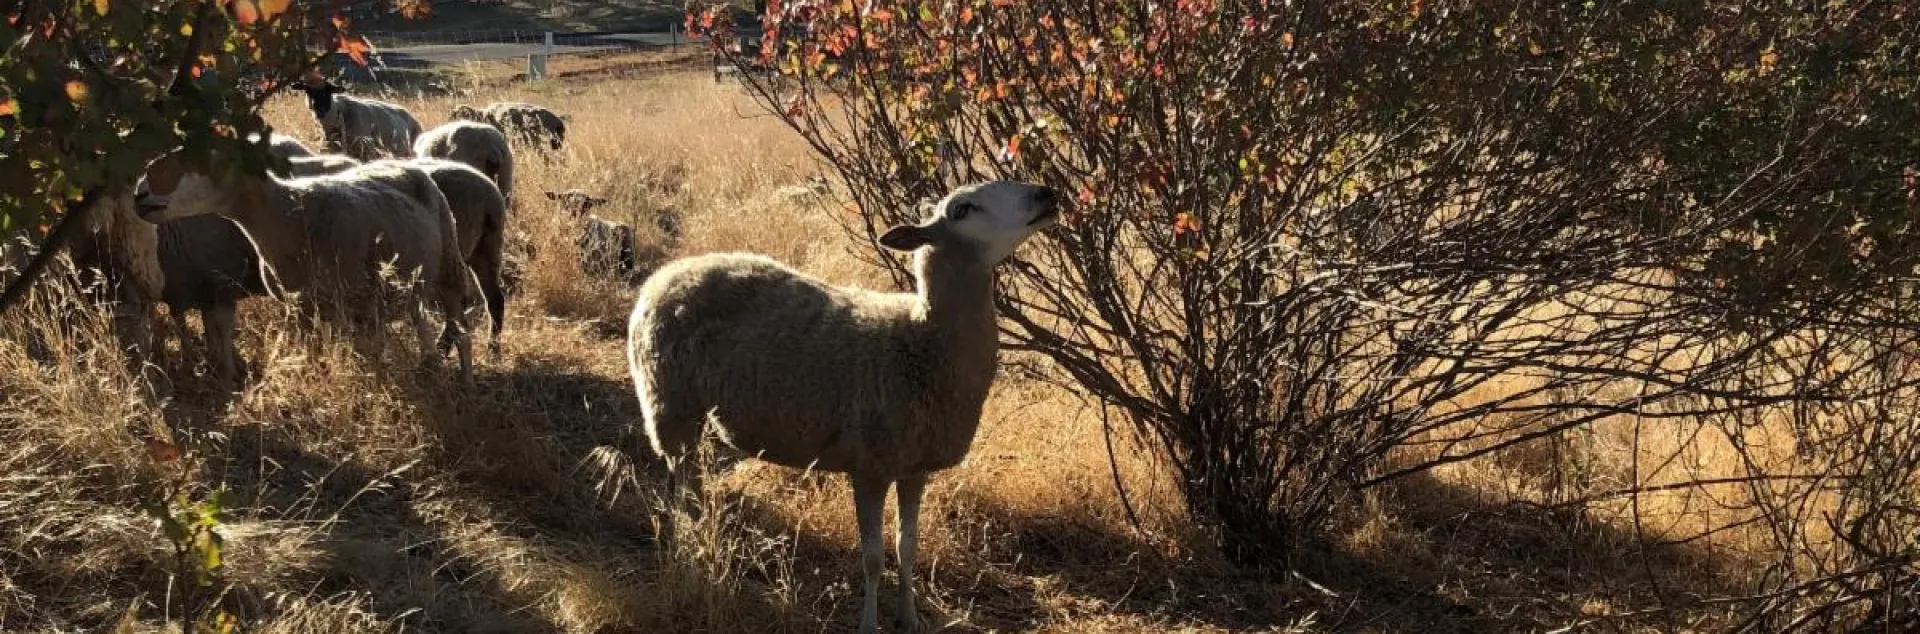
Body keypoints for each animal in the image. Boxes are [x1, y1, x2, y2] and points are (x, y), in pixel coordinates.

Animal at [135, 155, 475, 382]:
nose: (140, 194)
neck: (286, 213)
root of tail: (406, 164)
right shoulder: (299, 305)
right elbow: (310, 353)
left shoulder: (352, 302)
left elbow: (363, 355)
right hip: (411, 281)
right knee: (421, 319)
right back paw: (429, 365)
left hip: (448, 264)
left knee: (460, 329)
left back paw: (467, 381)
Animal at [626, 180, 1060, 633]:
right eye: (962, 209)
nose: (1046, 194)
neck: (921, 342)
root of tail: (663, 276)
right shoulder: (869, 467)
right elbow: (872, 558)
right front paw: (869, 624)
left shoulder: (915, 468)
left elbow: (907, 548)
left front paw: (909, 617)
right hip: (670, 407)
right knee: (683, 494)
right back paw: (690, 553)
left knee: (683, 490)